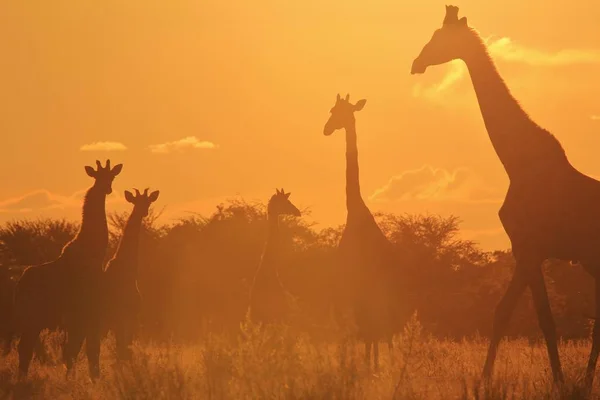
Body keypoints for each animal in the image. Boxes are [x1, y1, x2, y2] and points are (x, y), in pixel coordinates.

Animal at [14, 159, 121, 378]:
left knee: (25, 347)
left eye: (112, 176)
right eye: (98, 176)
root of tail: (19, 286)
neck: (94, 253)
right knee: (25, 347)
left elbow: (78, 351)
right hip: (32, 318)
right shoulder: (88, 314)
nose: (107, 188)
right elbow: (86, 351)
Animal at [102, 188, 159, 360]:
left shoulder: (129, 319)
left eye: (148, 201)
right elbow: (122, 349)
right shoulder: (121, 318)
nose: (144, 212)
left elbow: (125, 348)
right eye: (136, 201)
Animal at [324, 93, 398, 368]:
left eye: (340, 111)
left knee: (378, 327)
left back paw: (378, 363)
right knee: (373, 327)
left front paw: (369, 366)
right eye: (332, 110)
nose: (326, 129)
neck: (354, 209)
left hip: (376, 289)